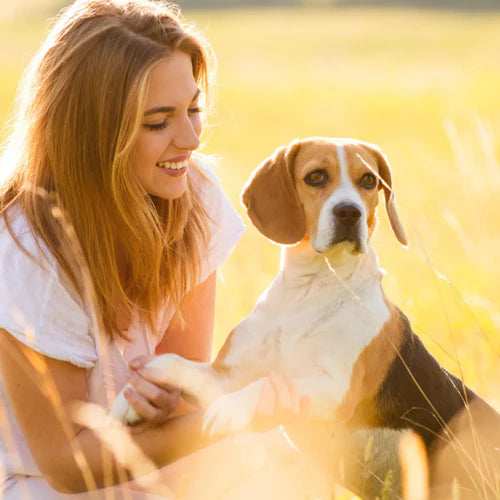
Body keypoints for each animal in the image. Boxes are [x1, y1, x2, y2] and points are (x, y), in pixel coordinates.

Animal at [111, 137, 498, 496]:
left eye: (368, 180)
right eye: (316, 176)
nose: (349, 212)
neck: (310, 290)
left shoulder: (336, 389)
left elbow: (269, 382)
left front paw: (231, 408)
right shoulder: (225, 375)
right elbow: (172, 364)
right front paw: (128, 400)